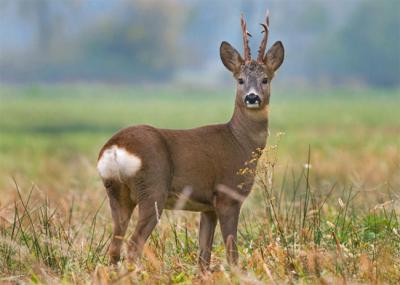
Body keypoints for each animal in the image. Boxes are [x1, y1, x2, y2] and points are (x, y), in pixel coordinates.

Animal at [97, 11, 284, 268]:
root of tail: (115, 148)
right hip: (153, 189)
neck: (240, 142)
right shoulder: (227, 195)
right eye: (240, 80)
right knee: (133, 245)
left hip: (117, 192)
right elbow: (232, 252)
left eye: (265, 79)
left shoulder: (208, 207)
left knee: (114, 247)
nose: (252, 97)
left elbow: (203, 256)